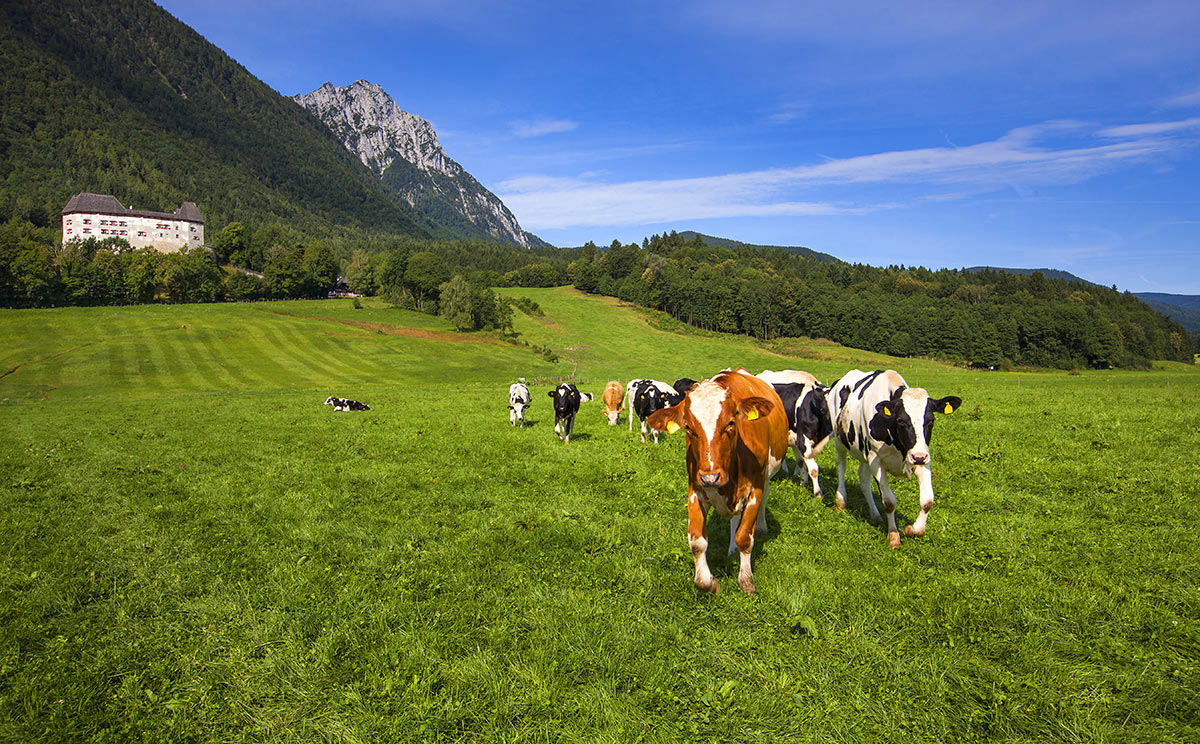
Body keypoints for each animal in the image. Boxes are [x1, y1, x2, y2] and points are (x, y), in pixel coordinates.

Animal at [648, 369, 787, 595]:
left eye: (731, 423)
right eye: (689, 427)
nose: (710, 477)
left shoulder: (754, 489)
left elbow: (745, 537)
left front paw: (746, 581)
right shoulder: (695, 490)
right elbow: (697, 542)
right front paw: (709, 582)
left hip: (767, 474)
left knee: (764, 499)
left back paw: (761, 527)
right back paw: (731, 549)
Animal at [830, 367, 960, 547]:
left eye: (931, 421)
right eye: (900, 421)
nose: (919, 457)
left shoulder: (921, 458)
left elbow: (927, 500)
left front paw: (912, 529)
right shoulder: (877, 461)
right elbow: (889, 502)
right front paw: (893, 536)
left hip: (865, 455)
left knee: (864, 480)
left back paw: (875, 514)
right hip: (839, 441)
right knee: (841, 466)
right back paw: (841, 501)